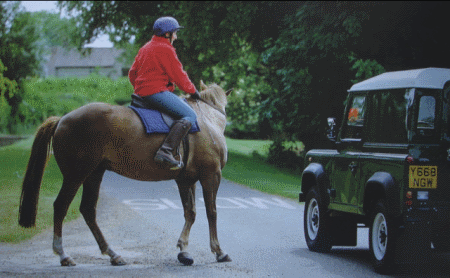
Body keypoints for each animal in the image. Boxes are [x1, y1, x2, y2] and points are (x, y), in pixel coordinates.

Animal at [17, 81, 232, 266]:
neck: (207, 120)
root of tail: (62, 119)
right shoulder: (211, 176)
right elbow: (211, 212)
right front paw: (219, 251)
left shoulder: (186, 180)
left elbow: (190, 213)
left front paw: (184, 251)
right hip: (76, 175)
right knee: (61, 206)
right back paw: (63, 254)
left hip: (94, 174)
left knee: (88, 210)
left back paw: (112, 254)